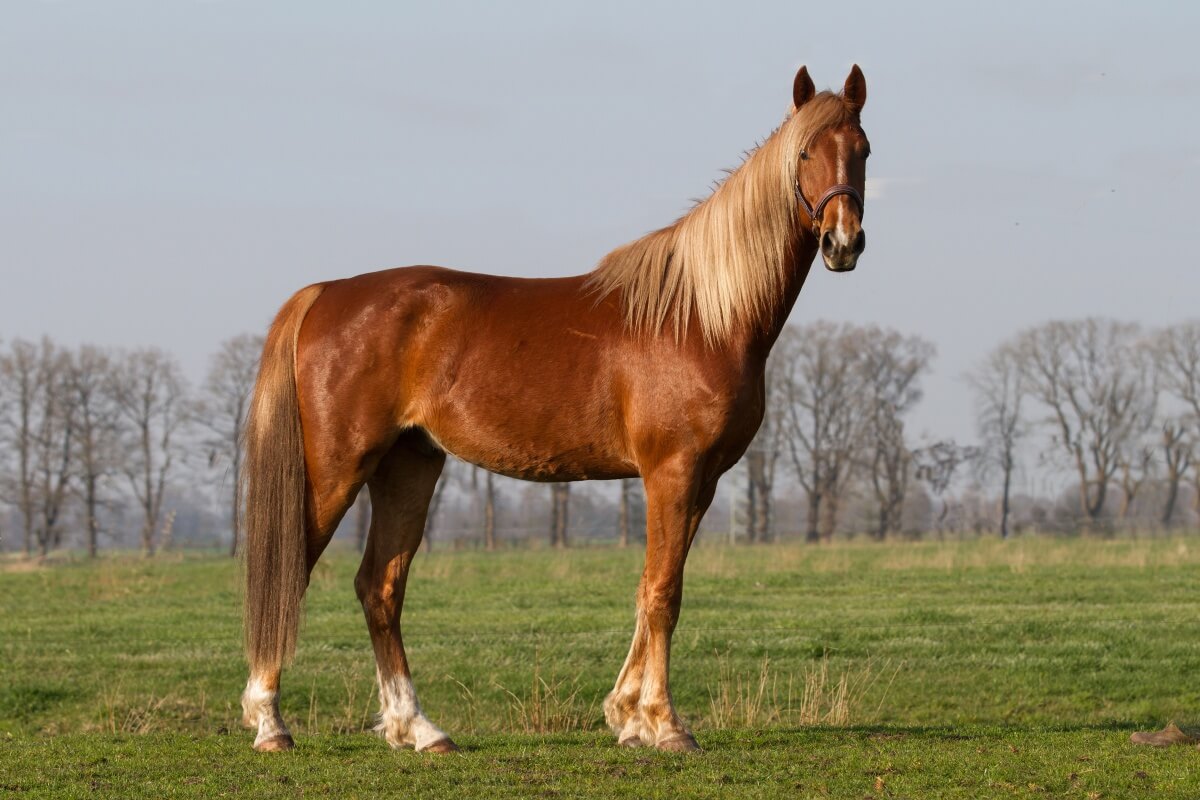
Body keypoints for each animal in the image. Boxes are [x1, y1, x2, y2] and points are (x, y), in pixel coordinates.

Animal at [240, 64, 870, 754]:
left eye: (863, 150)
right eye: (805, 153)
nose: (843, 242)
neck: (699, 316)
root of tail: (325, 293)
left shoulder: (700, 482)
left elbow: (650, 588)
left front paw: (626, 715)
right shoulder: (671, 472)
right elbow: (664, 593)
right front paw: (665, 723)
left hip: (408, 465)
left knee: (379, 587)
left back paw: (419, 729)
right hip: (337, 467)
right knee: (292, 572)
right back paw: (270, 723)